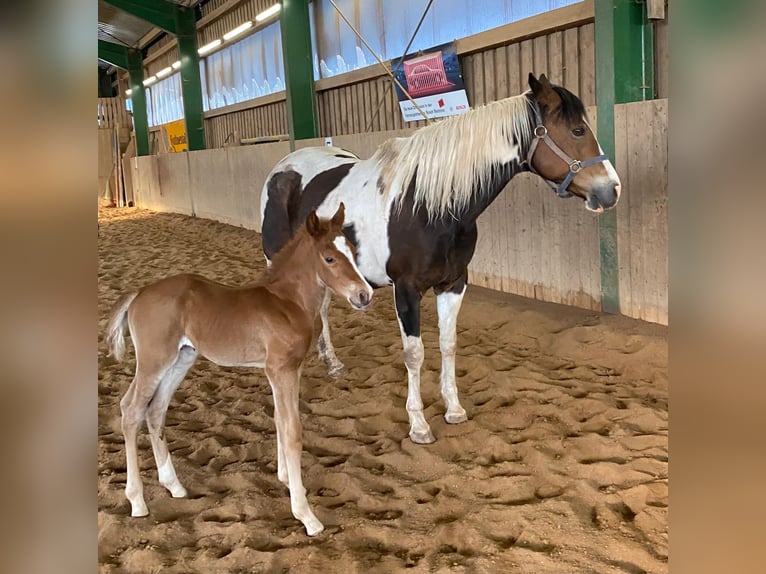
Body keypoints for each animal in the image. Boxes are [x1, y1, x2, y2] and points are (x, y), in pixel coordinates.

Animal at [105, 204, 372, 536]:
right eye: (329, 258)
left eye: (352, 250)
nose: (364, 295)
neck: (287, 302)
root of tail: (138, 294)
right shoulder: (280, 370)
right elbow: (292, 430)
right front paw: (306, 515)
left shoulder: (290, 369)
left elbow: (279, 419)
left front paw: (287, 480)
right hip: (154, 361)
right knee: (131, 410)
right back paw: (137, 501)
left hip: (181, 359)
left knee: (155, 410)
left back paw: (174, 486)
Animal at [260, 73, 621, 445]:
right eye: (577, 130)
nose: (612, 189)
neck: (426, 206)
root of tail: (284, 168)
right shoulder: (405, 290)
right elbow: (414, 354)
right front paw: (418, 424)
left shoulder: (453, 283)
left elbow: (448, 344)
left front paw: (454, 409)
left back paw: (331, 363)